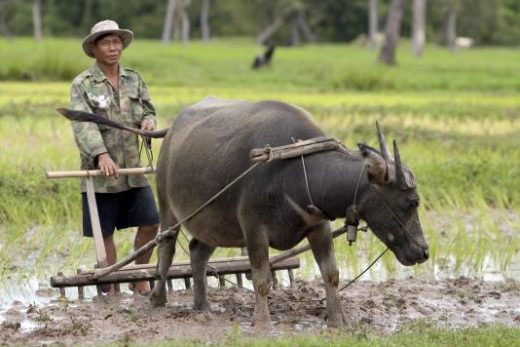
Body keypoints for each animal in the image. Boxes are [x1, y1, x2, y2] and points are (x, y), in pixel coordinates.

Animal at [59, 97, 428, 328]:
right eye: (411, 202)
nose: (423, 251)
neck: (297, 170)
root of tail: (173, 128)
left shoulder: (318, 226)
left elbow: (331, 274)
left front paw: (338, 321)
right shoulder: (253, 229)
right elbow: (261, 279)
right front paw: (262, 323)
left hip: (211, 221)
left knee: (197, 251)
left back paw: (202, 306)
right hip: (168, 207)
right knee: (165, 248)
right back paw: (157, 299)